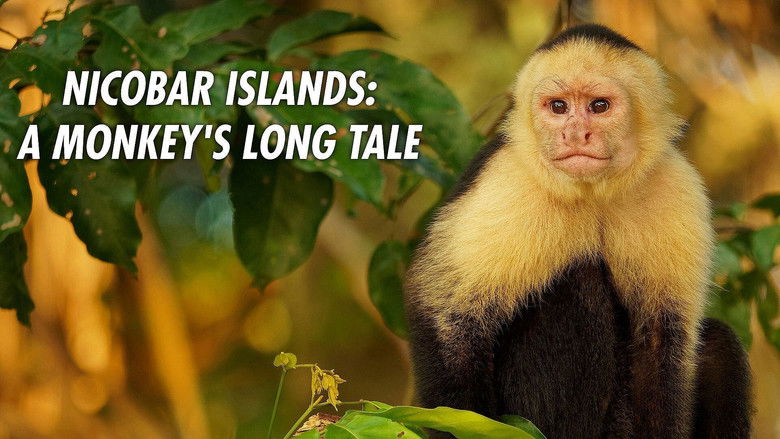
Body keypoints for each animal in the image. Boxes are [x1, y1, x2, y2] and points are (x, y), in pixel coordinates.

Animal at [404, 24, 751, 439]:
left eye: (599, 106)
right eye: (558, 107)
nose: (575, 134)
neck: (593, 192)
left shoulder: (675, 185)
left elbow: (661, 339)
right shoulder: (508, 180)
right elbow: (447, 315)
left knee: (718, 343)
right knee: (580, 284)